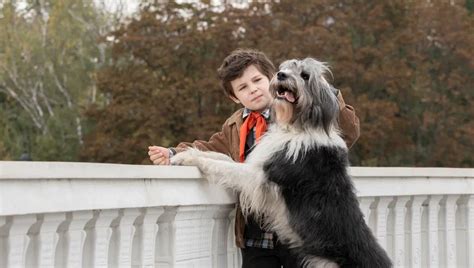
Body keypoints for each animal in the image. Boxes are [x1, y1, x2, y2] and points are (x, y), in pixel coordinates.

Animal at [170, 57, 392, 266]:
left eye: (305, 75)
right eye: (285, 68)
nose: (281, 75)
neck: (296, 126)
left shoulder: (260, 176)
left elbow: (224, 167)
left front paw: (188, 157)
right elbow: (223, 157)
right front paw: (180, 153)